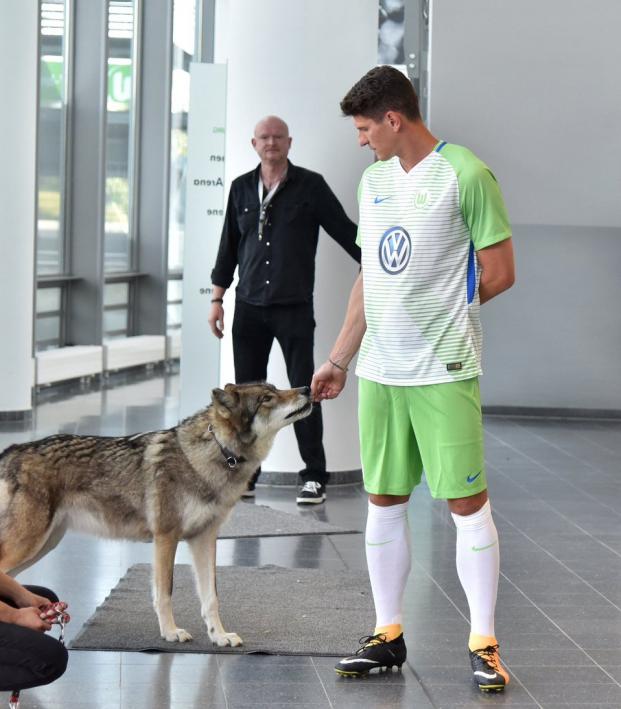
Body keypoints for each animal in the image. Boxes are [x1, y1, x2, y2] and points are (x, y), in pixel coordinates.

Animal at [0, 384, 310, 644]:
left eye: (276, 388)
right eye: (267, 398)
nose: (307, 388)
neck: (217, 454)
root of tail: (13, 450)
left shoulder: (204, 539)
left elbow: (211, 597)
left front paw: (219, 636)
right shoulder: (166, 538)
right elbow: (165, 593)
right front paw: (170, 632)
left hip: (45, 543)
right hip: (31, 543)